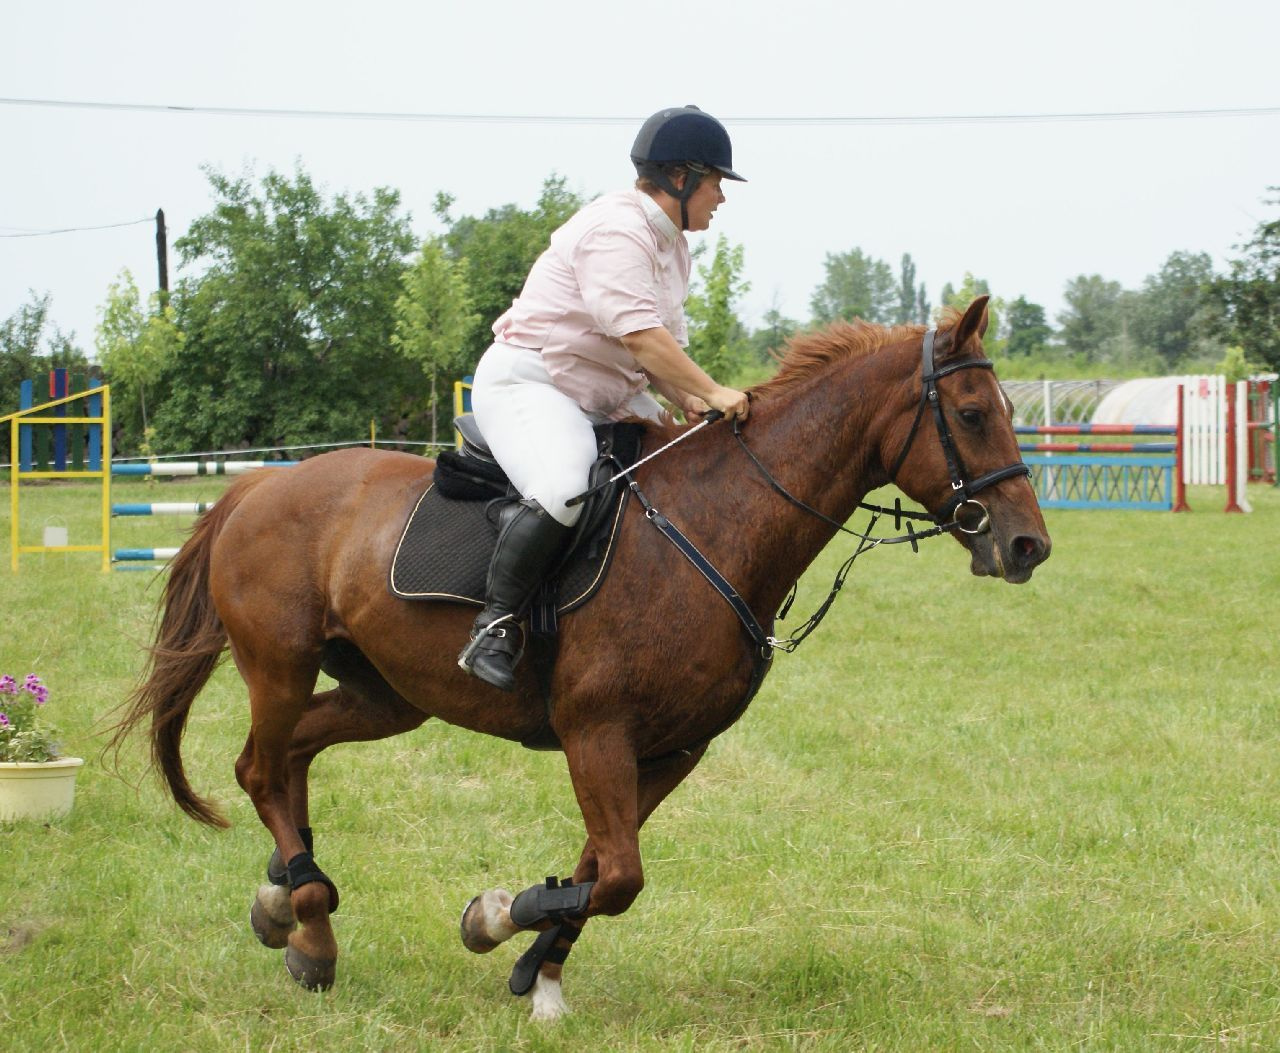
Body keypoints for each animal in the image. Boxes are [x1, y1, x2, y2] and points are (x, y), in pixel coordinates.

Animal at [112, 296, 1049, 1023]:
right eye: (972, 413)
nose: (1027, 545)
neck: (714, 525)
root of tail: (258, 486)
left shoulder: (671, 749)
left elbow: (602, 870)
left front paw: (539, 972)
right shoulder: (597, 731)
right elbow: (620, 874)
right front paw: (495, 916)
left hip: (387, 694)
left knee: (292, 752)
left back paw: (289, 906)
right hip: (279, 663)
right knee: (259, 766)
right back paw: (305, 909)